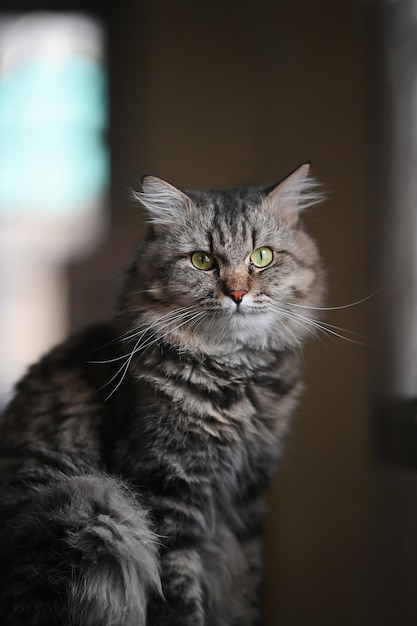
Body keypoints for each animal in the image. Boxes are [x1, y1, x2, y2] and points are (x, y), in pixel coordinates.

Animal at [0, 162, 324, 624]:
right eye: (203, 261)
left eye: (262, 257)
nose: (237, 294)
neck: (233, 377)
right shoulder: (162, 492)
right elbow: (178, 598)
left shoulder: (247, 502)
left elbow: (246, 590)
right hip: (92, 506)